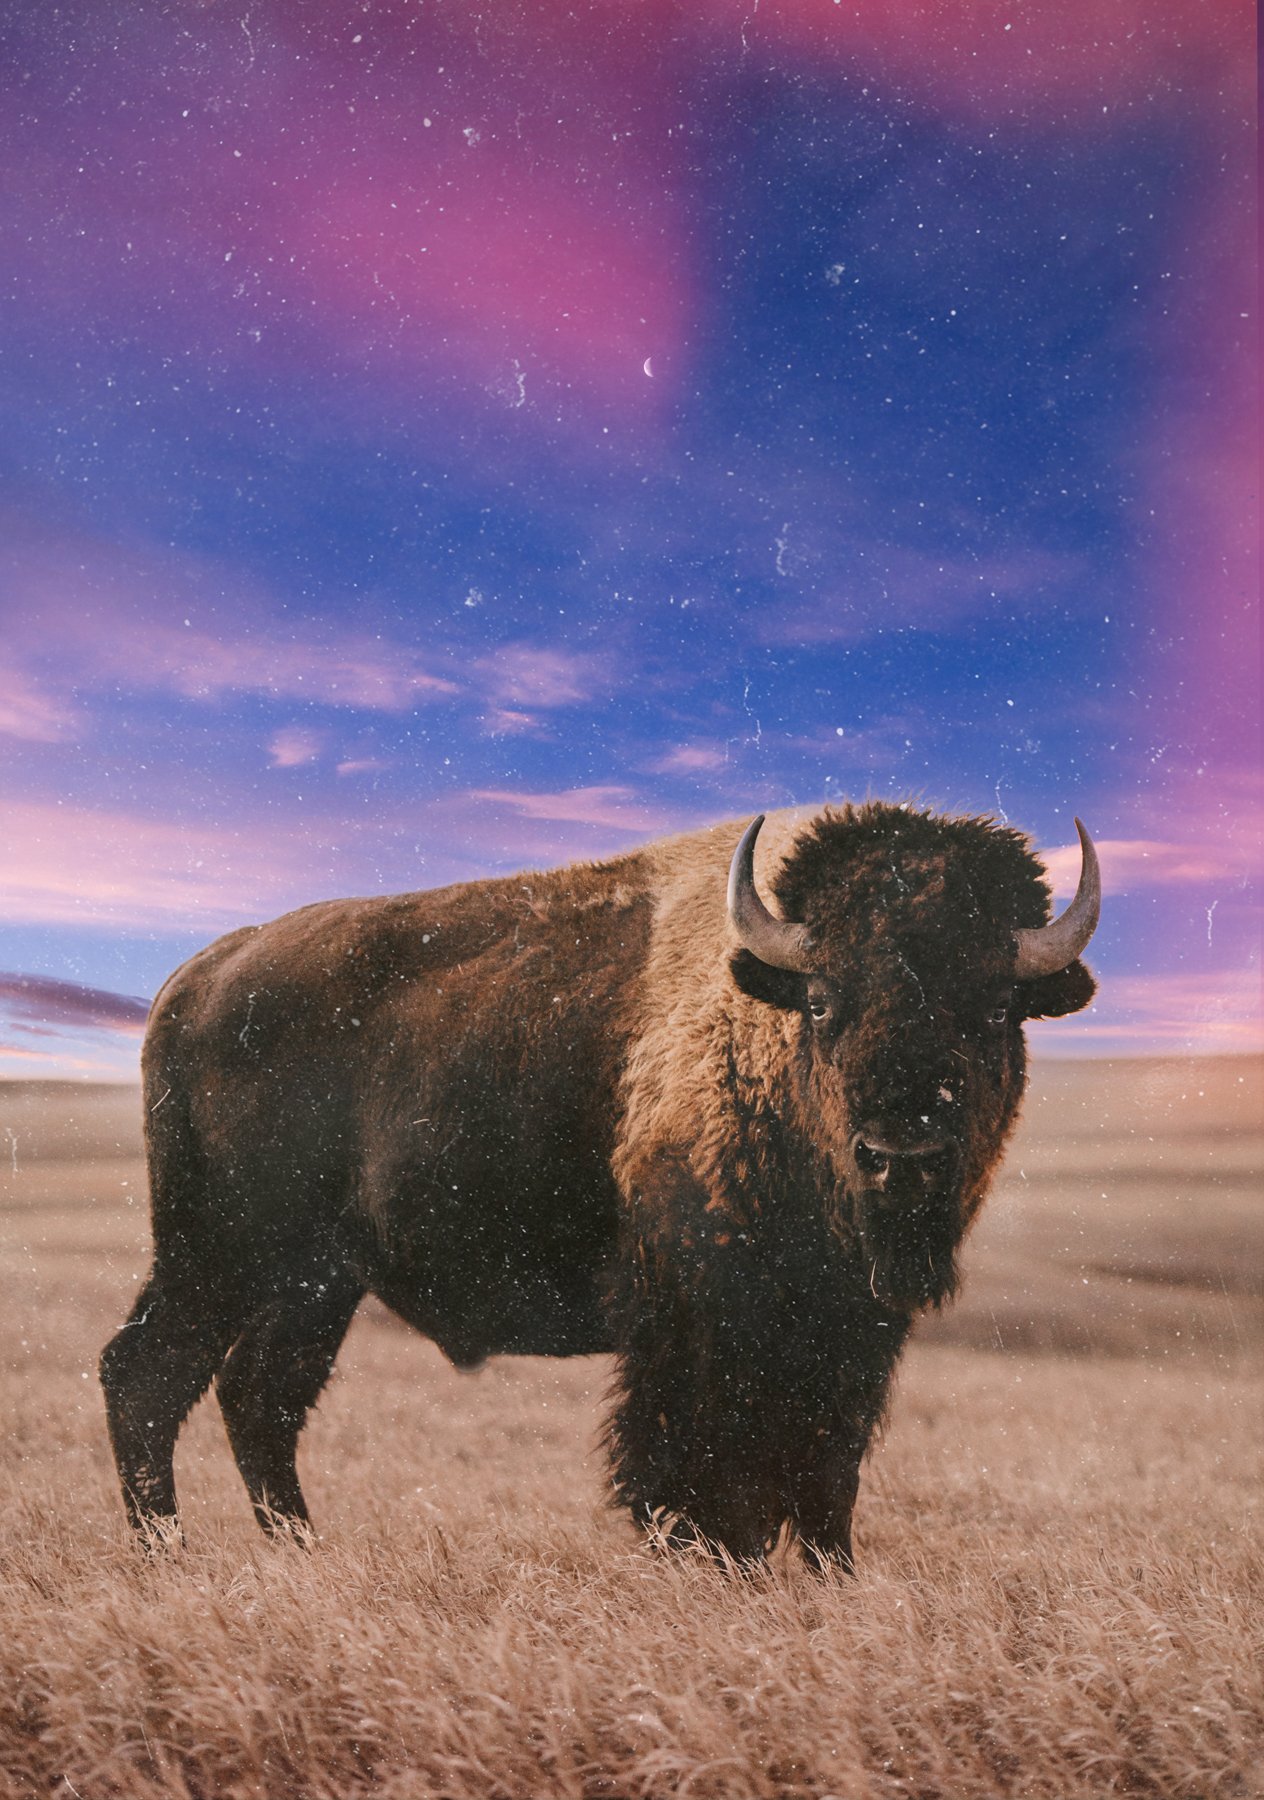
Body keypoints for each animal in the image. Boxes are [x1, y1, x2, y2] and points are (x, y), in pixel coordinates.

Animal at [103, 802, 1101, 1562]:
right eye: (823, 1001)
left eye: (994, 1008)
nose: (901, 1153)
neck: (758, 1026)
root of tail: (198, 977)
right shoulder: (697, 1321)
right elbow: (697, 1471)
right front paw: (716, 1566)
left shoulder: (851, 1331)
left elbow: (827, 1473)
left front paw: (830, 1577)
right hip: (221, 1252)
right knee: (146, 1373)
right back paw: (169, 1558)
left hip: (315, 1282)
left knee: (256, 1397)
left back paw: (301, 1552)